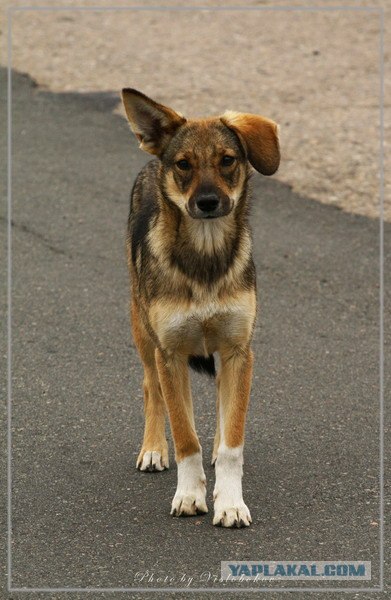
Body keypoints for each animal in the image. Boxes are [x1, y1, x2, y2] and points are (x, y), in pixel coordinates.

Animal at [121, 86, 280, 528]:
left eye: (227, 160)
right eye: (183, 165)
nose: (208, 202)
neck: (206, 259)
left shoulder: (239, 351)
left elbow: (232, 440)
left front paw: (230, 502)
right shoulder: (170, 353)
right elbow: (185, 436)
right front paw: (190, 495)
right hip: (142, 331)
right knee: (152, 388)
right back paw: (154, 448)